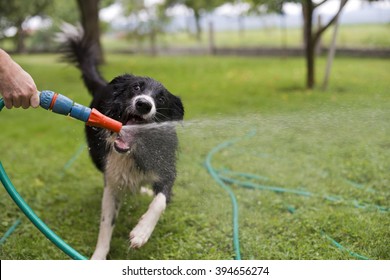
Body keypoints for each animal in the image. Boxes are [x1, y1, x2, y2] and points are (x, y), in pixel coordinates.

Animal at [59, 24, 184, 260]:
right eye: (136, 88)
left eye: (161, 99)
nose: (144, 104)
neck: (133, 151)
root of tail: (103, 86)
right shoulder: (112, 181)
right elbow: (106, 224)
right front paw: (98, 256)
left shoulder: (166, 170)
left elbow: (160, 201)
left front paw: (142, 232)